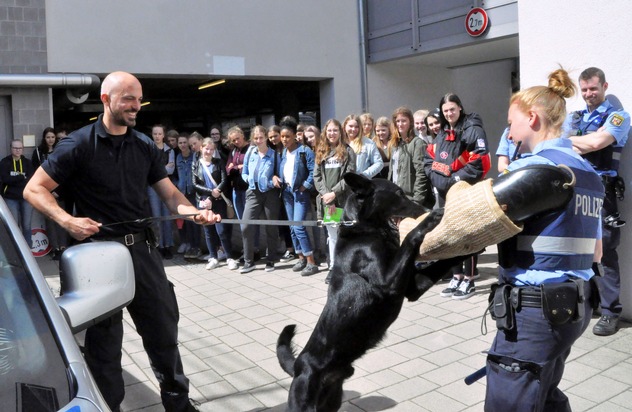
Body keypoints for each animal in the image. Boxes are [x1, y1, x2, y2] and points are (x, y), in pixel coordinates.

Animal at [276, 172, 464, 410]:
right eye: (399, 194)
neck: (364, 230)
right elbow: (410, 237)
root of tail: (298, 366)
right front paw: (430, 220)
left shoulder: (411, 287)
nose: (424, 208)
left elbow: (445, 261)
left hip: (332, 401)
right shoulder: (388, 282)